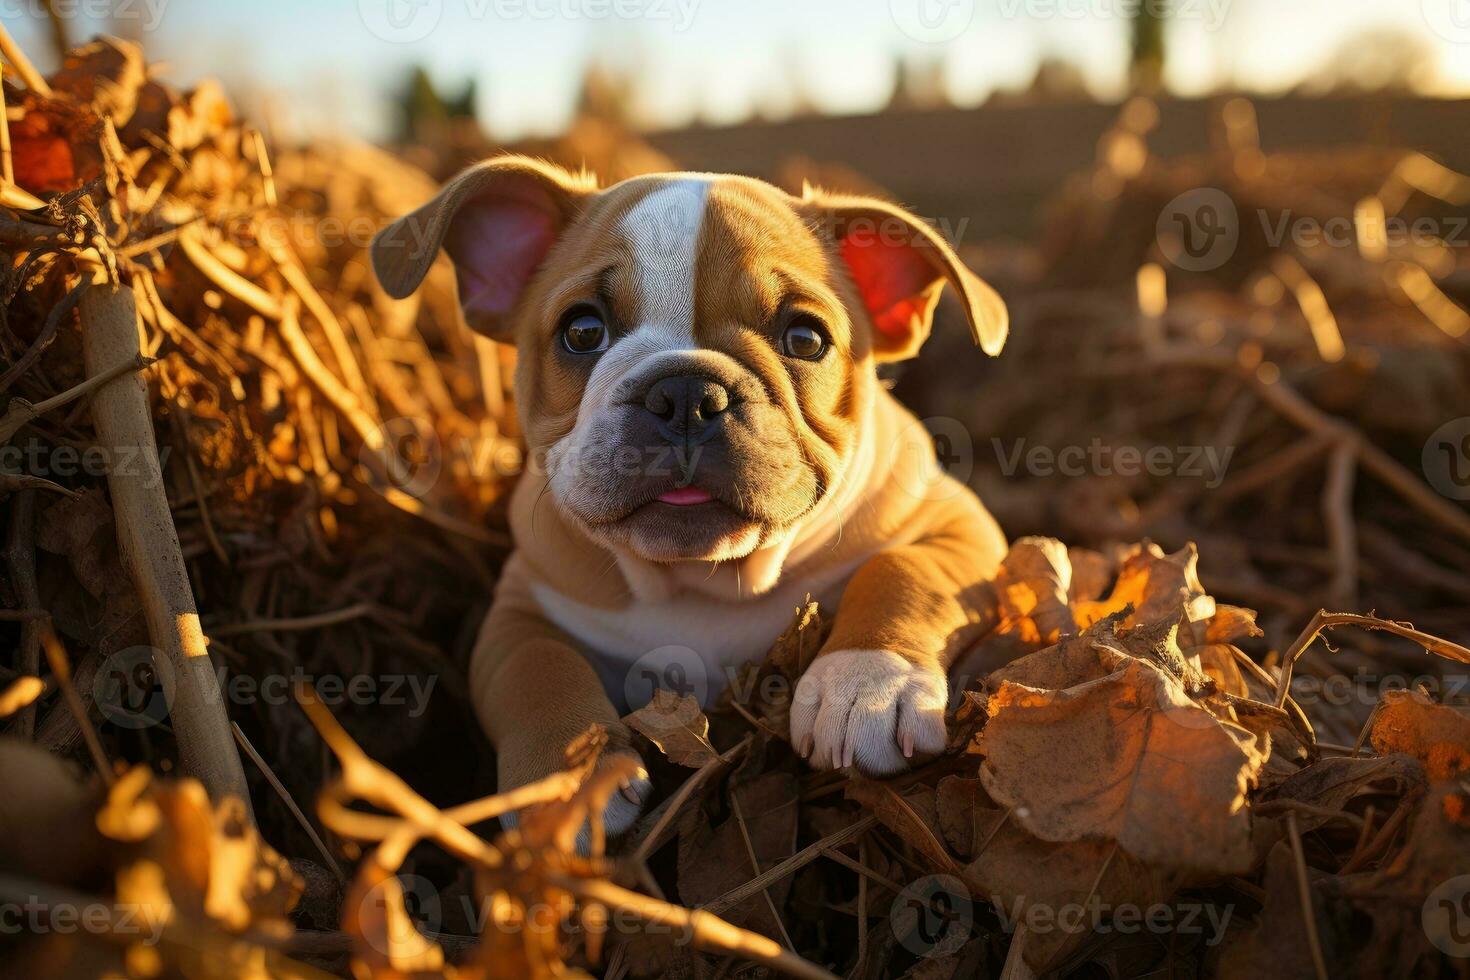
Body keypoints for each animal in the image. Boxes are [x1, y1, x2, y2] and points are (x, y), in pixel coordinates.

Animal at [370, 159, 1011, 834]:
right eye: (582, 331)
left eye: (806, 339)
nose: (686, 393)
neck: (699, 579)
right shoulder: (524, 601)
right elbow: (536, 666)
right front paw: (564, 779)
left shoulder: (956, 524)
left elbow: (905, 569)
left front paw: (867, 680)